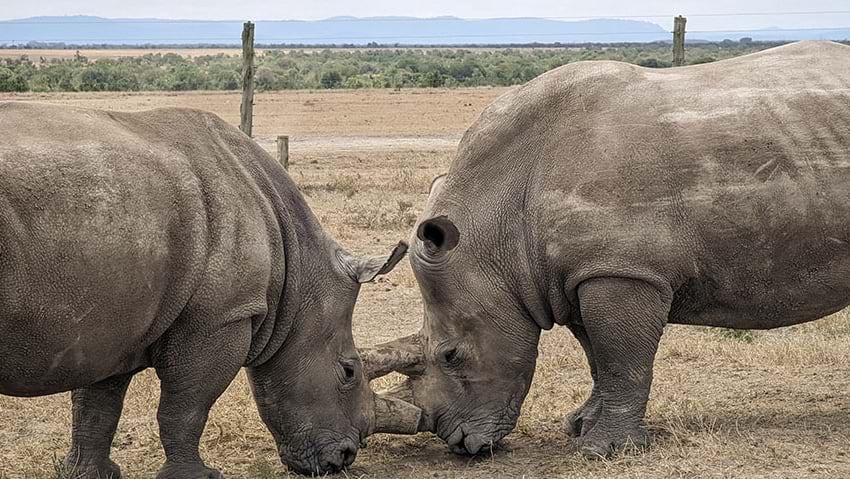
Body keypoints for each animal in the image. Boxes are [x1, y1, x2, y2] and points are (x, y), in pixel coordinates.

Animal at [0, 103, 420, 478]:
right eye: (348, 371)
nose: (344, 458)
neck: (300, 272)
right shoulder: (220, 317)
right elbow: (187, 406)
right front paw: (197, 476)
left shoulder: (116, 320)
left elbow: (96, 404)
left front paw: (90, 473)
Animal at [364, 43, 850, 460]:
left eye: (451, 355)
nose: (461, 444)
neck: (493, 229)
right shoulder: (575, 274)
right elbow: (597, 356)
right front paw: (579, 426)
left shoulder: (621, 270)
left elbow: (621, 359)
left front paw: (603, 450)